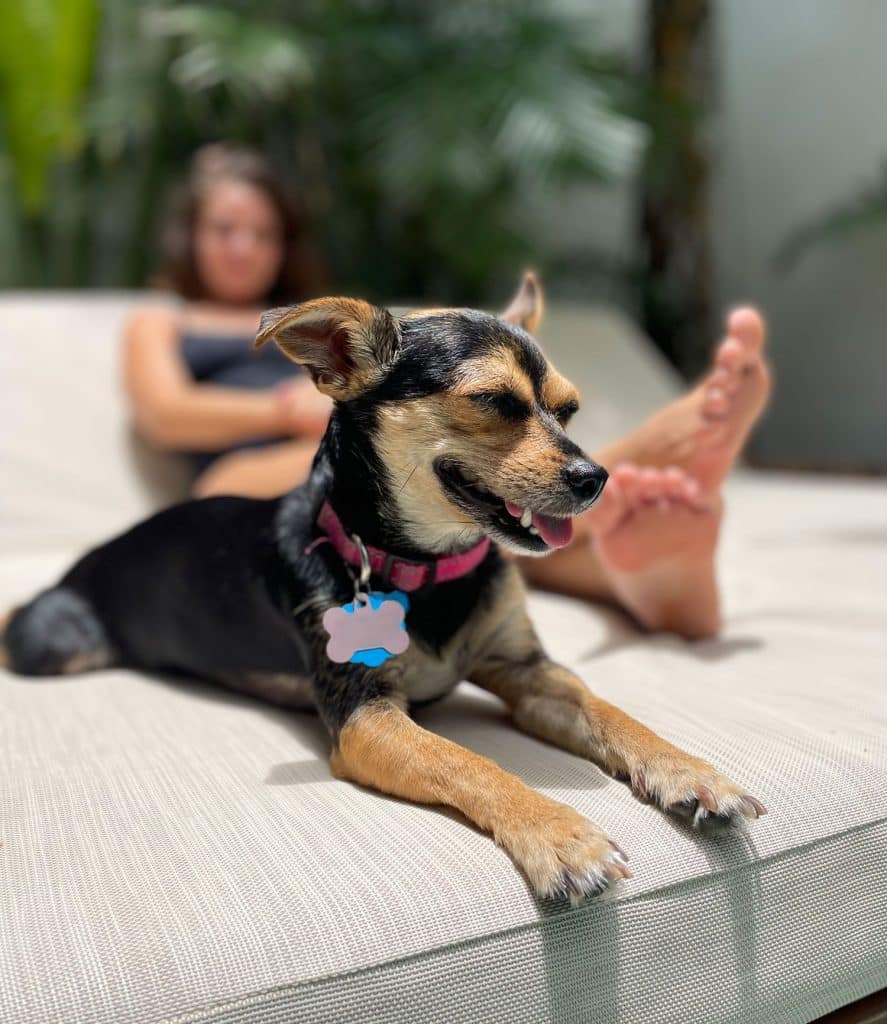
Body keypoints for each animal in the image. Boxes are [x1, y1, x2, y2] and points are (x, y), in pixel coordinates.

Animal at [1, 272, 762, 905]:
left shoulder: (531, 672)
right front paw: (556, 833)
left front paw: (690, 771)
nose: (595, 478)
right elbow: (472, 761)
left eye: (568, 411)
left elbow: (612, 713)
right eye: (492, 402)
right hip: (55, 644)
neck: (425, 564)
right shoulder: (366, 719)